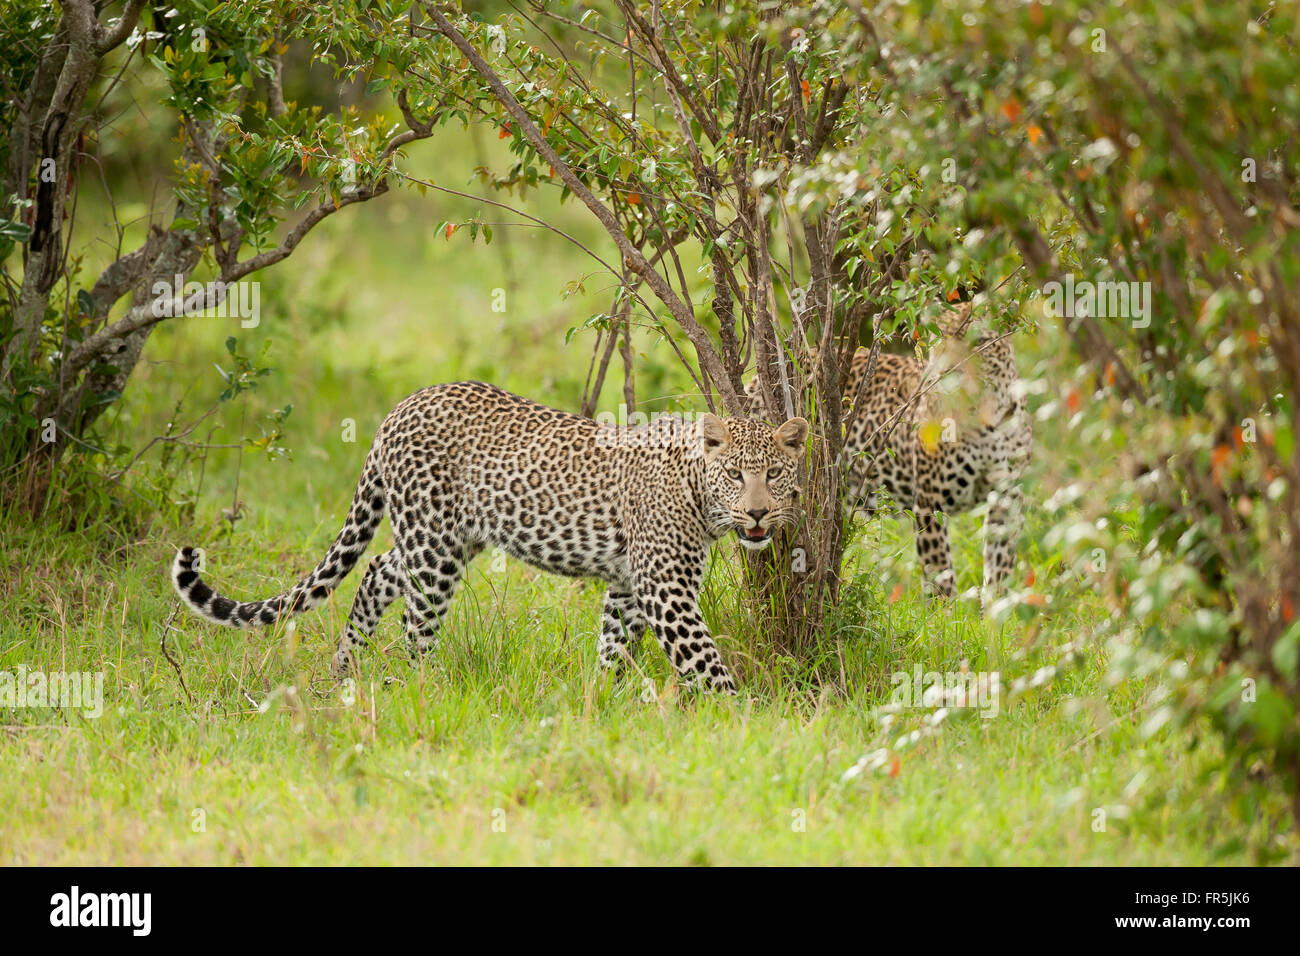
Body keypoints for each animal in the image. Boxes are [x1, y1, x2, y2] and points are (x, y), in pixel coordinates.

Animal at [170, 382, 800, 697]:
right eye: (736, 474)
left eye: (774, 473)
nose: (759, 513)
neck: (696, 488)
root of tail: (398, 409)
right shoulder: (664, 589)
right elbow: (704, 661)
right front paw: (742, 722)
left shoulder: (627, 584)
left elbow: (613, 646)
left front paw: (603, 701)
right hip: (434, 544)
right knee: (415, 620)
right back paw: (420, 687)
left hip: (448, 536)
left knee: (378, 570)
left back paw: (346, 666)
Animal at [748, 306, 1029, 606]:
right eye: (942, 340)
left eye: (980, 342)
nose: (948, 372)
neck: (984, 419)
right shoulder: (929, 502)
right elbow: (940, 574)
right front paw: (945, 615)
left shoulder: (1008, 498)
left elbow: (1000, 566)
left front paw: (997, 612)